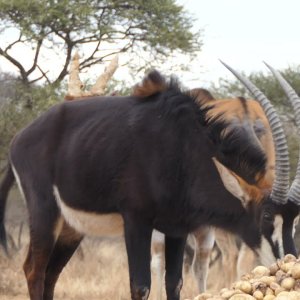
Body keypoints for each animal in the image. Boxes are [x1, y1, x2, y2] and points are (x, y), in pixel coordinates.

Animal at [0, 66, 298, 300]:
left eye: (294, 222)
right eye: (267, 216)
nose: (289, 262)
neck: (181, 148)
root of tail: (20, 137)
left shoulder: (177, 228)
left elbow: (175, 283)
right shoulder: (137, 222)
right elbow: (141, 285)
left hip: (72, 227)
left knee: (51, 273)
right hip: (46, 213)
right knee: (35, 270)